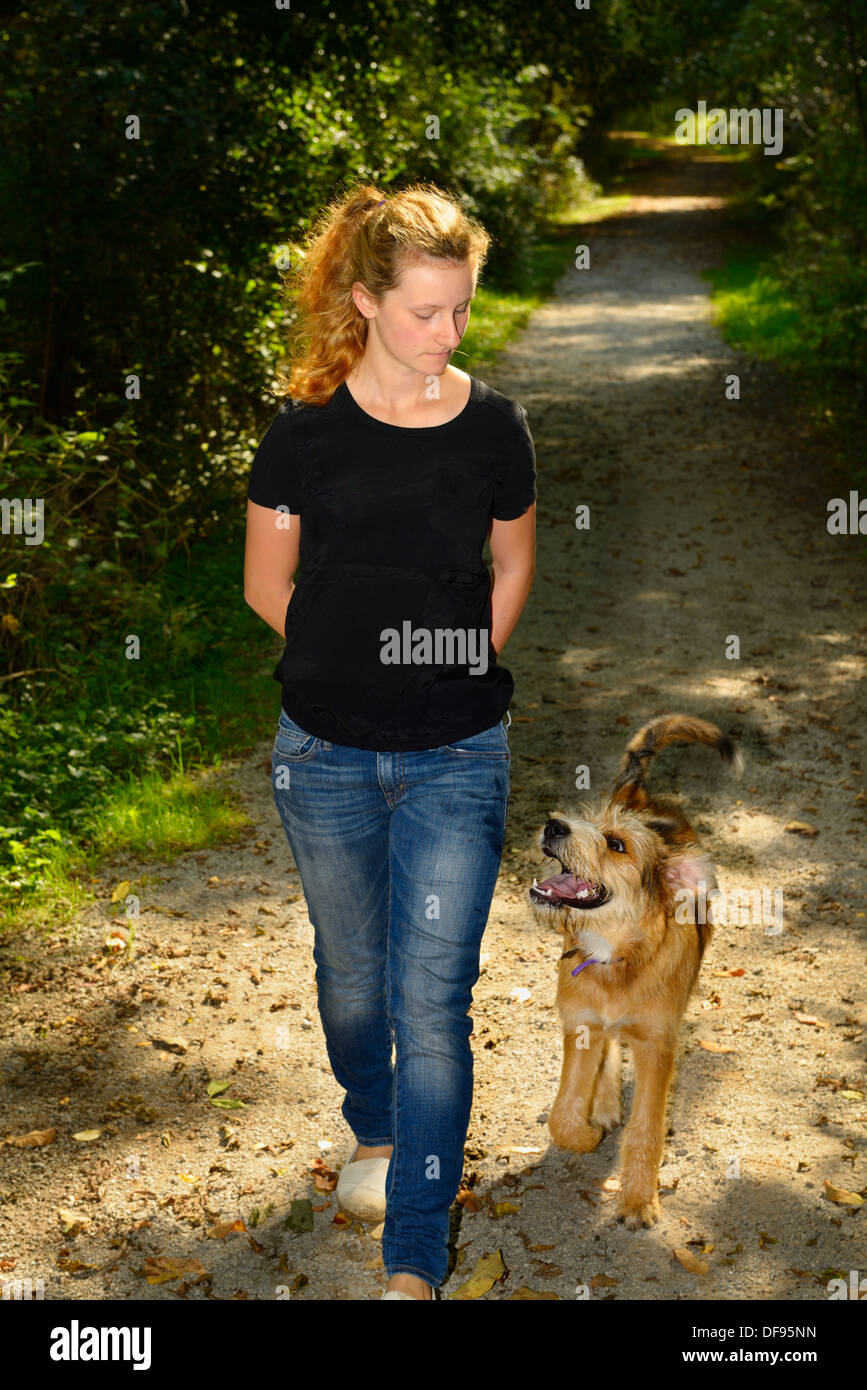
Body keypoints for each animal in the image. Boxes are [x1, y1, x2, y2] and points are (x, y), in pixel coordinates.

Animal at [525, 717, 739, 1228]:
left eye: (616, 845)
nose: (554, 824)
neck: (616, 956)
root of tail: (641, 795)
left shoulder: (657, 1046)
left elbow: (648, 1127)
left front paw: (640, 1200)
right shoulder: (581, 1024)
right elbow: (562, 1116)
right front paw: (586, 1136)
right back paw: (602, 1105)